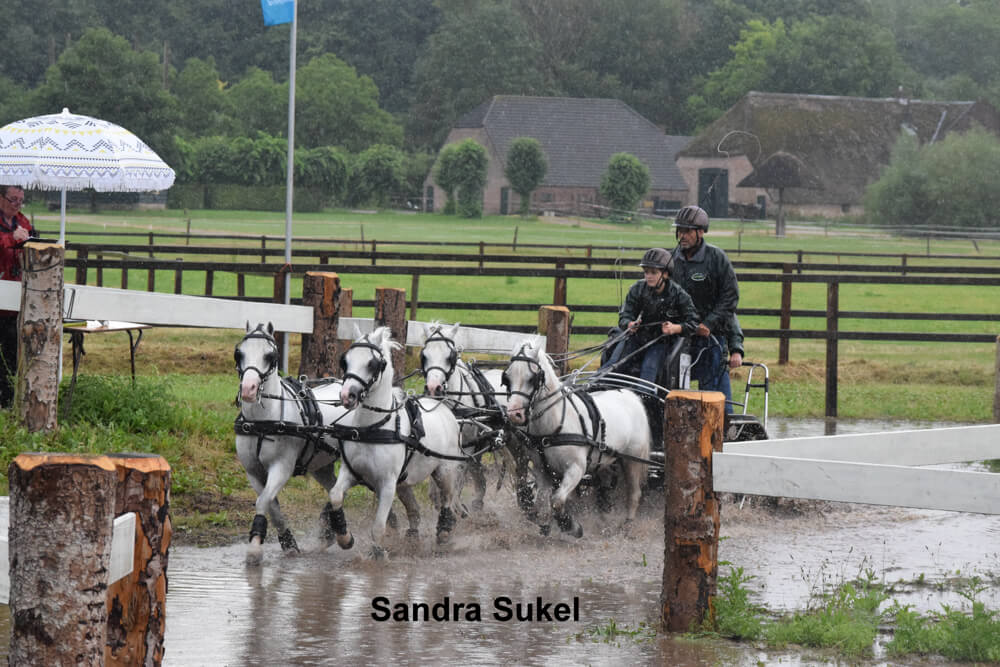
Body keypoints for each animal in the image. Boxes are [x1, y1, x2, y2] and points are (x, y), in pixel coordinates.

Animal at [234, 322, 347, 565]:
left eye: (270, 356)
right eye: (239, 353)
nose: (248, 389)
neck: (263, 422)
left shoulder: (282, 467)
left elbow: (263, 501)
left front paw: (254, 549)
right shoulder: (253, 472)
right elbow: (272, 506)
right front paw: (288, 544)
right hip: (321, 465)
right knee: (335, 488)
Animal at [326, 326, 466, 559]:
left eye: (372, 363)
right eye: (345, 360)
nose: (347, 395)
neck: (374, 428)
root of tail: (442, 406)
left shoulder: (387, 484)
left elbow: (378, 527)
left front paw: (378, 553)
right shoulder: (351, 472)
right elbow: (335, 495)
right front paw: (345, 537)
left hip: (444, 469)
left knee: (447, 497)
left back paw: (444, 532)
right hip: (404, 483)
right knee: (414, 510)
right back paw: (412, 539)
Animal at [501, 339, 652, 537]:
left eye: (532, 378)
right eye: (507, 377)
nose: (514, 414)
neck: (556, 424)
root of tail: (632, 395)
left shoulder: (576, 469)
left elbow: (557, 499)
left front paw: (570, 525)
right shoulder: (542, 470)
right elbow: (543, 498)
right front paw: (545, 524)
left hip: (632, 460)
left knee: (634, 492)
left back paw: (627, 524)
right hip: (604, 460)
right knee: (604, 486)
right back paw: (604, 516)